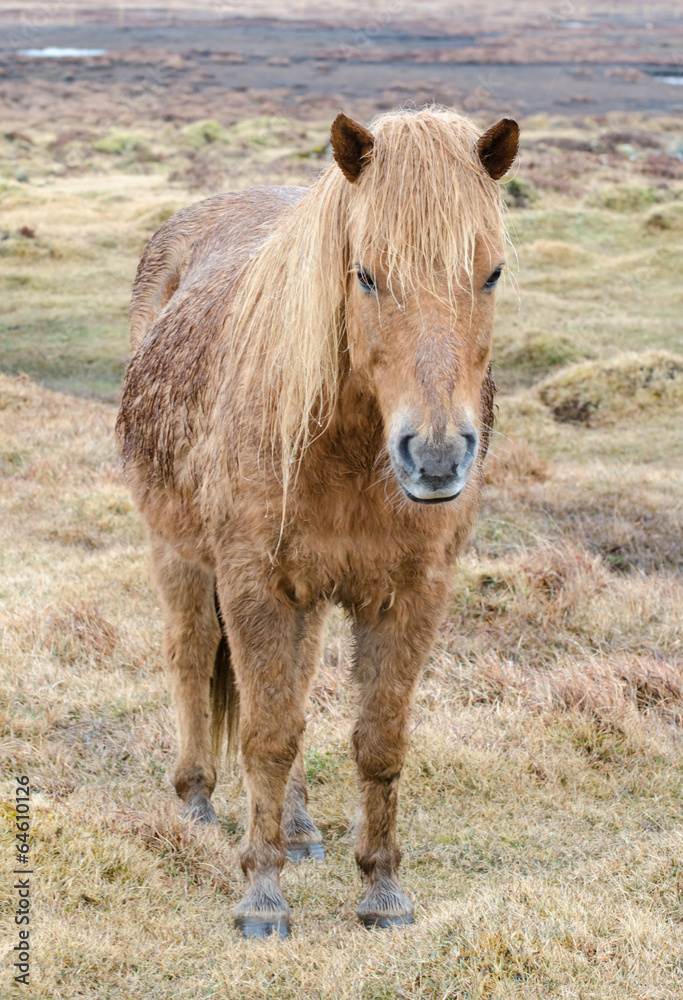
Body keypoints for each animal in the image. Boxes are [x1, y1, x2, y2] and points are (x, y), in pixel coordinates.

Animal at [116, 106, 519, 939]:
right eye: (364, 274)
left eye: (491, 272)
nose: (436, 457)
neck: (345, 449)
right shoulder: (254, 584)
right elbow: (268, 736)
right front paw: (262, 898)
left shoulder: (409, 594)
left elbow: (377, 743)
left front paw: (383, 891)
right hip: (180, 555)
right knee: (191, 657)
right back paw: (197, 801)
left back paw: (299, 830)